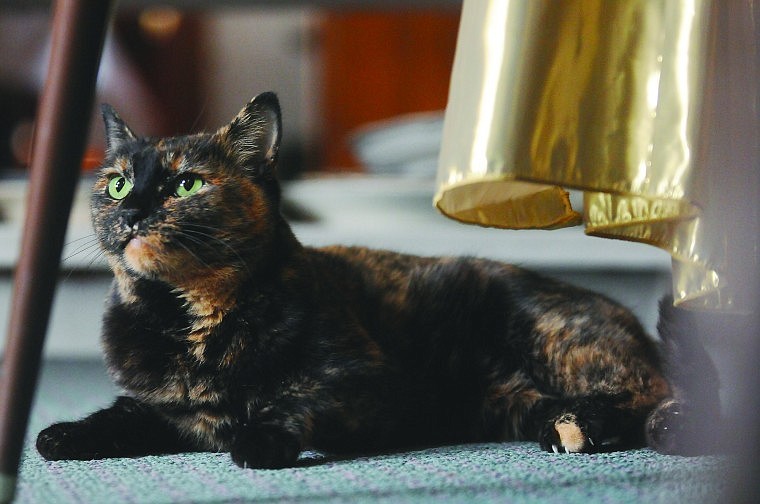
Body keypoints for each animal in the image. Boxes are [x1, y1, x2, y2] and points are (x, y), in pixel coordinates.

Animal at [35, 91, 712, 468]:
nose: (131, 211)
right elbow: (121, 414)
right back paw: (568, 426)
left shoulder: (363, 378)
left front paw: (259, 439)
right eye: (117, 183)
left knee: (648, 388)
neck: (192, 320)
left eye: (186, 183)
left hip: (552, 334)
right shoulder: (164, 407)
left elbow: (295, 397)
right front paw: (62, 434)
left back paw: (598, 427)